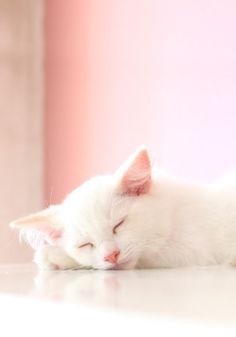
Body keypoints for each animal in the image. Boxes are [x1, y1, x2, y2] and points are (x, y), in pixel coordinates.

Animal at [9, 147, 236, 270]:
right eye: (86, 244)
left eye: (119, 225)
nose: (111, 255)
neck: (170, 213)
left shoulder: (190, 251)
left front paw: (54, 255)